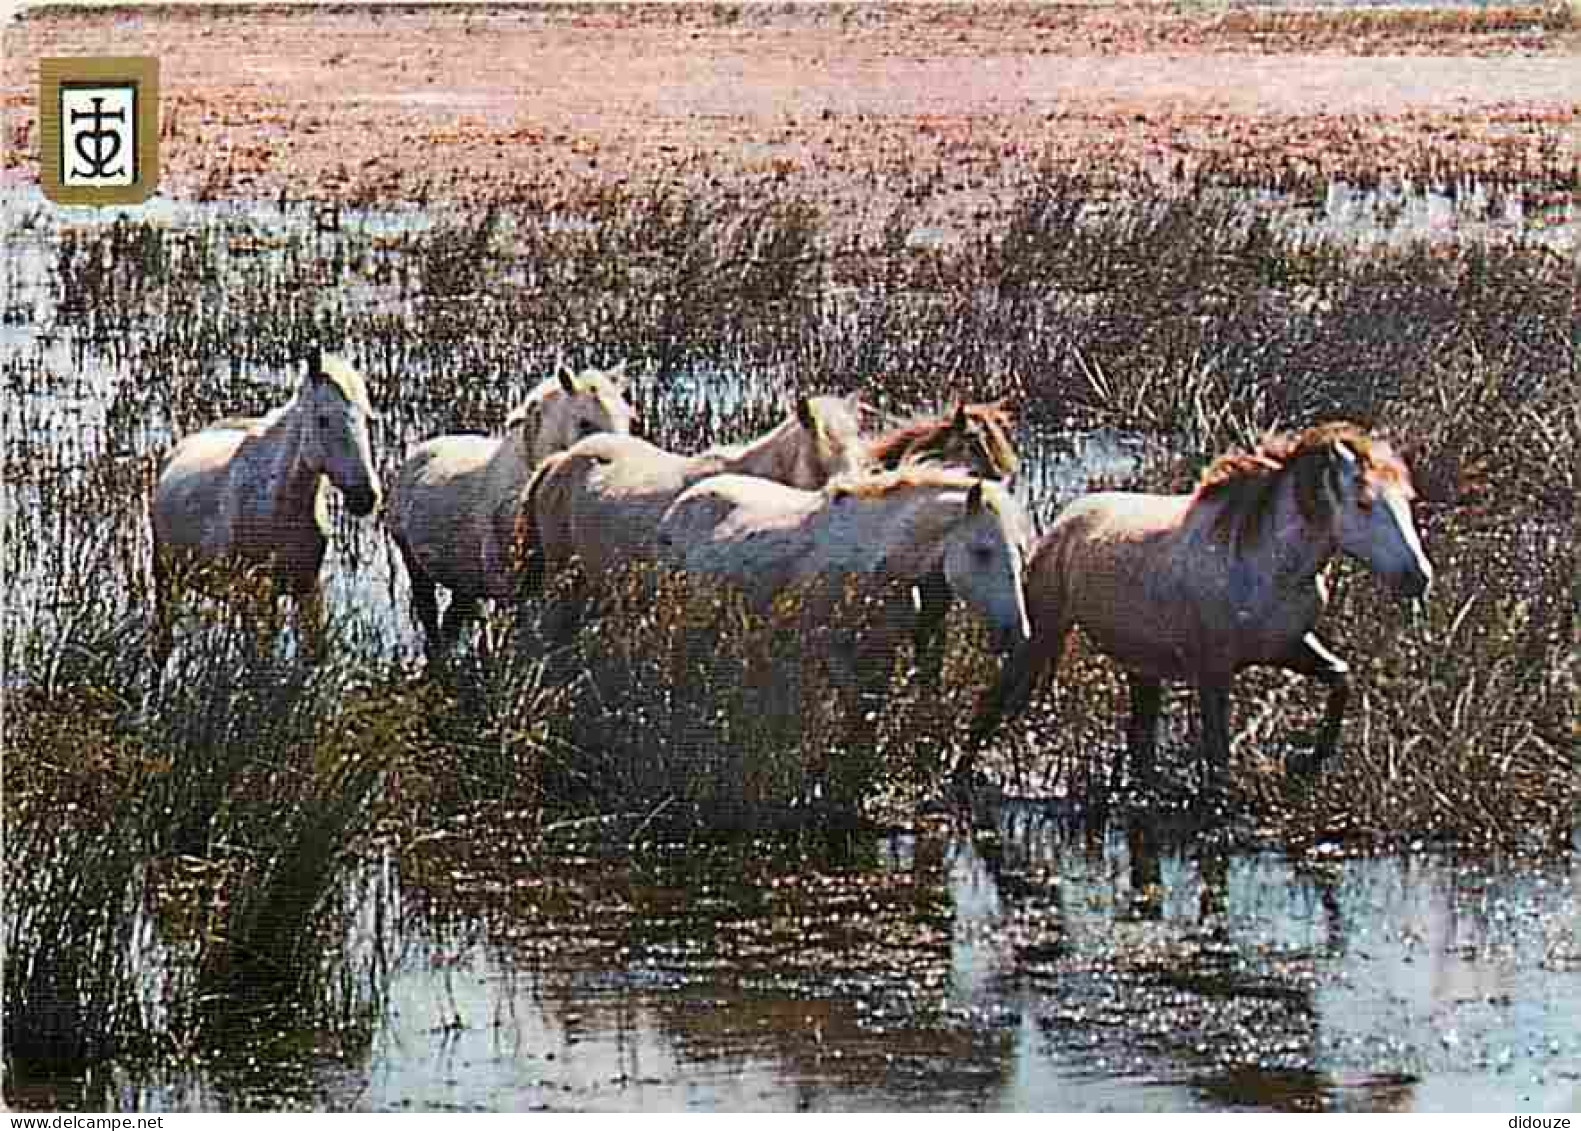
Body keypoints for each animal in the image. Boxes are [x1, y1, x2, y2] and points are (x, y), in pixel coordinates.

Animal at [148, 349, 382, 658]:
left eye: (367, 418)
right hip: (167, 577)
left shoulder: (307, 590)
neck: (279, 506)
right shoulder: (256, 595)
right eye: (323, 419)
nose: (365, 497)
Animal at [385, 362, 632, 664]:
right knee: (430, 618)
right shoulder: (507, 590)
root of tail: (418, 454)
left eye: (628, 418)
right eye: (585, 422)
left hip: (463, 583)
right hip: (415, 565)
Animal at [967, 420, 1441, 800]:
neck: (1268, 562)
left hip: (1143, 668)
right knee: (992, 703)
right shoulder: (1214, 669)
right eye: (1364, 503)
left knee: (1141, 744)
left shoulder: (1287, 646)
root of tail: (1067, 519)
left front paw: (1308, 761)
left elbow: (1340, 677)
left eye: (1407, 499)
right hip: (1042, 633)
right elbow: (1217, 753)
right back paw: (961, 777)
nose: (1418, 576)